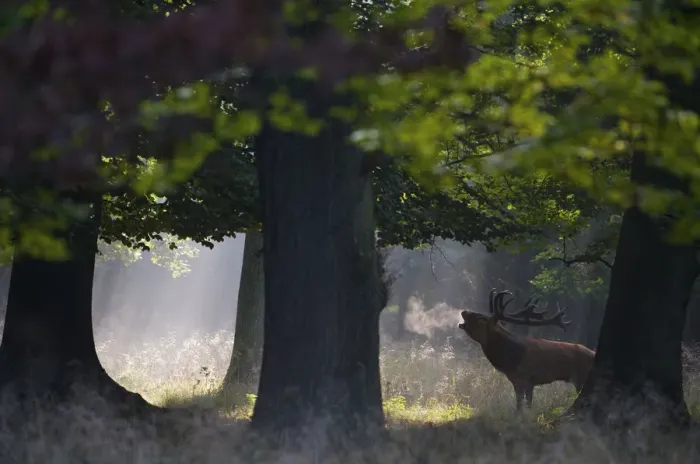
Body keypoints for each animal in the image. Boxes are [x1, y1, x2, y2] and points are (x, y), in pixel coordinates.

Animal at [458, 289, 595, 411]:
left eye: (482, 319)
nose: (464, 311)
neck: (511, 360)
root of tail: (594, 354)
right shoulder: (516, 381)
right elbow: (520, 405)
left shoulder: (528, 378)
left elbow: (526, 405)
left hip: (582, 377)